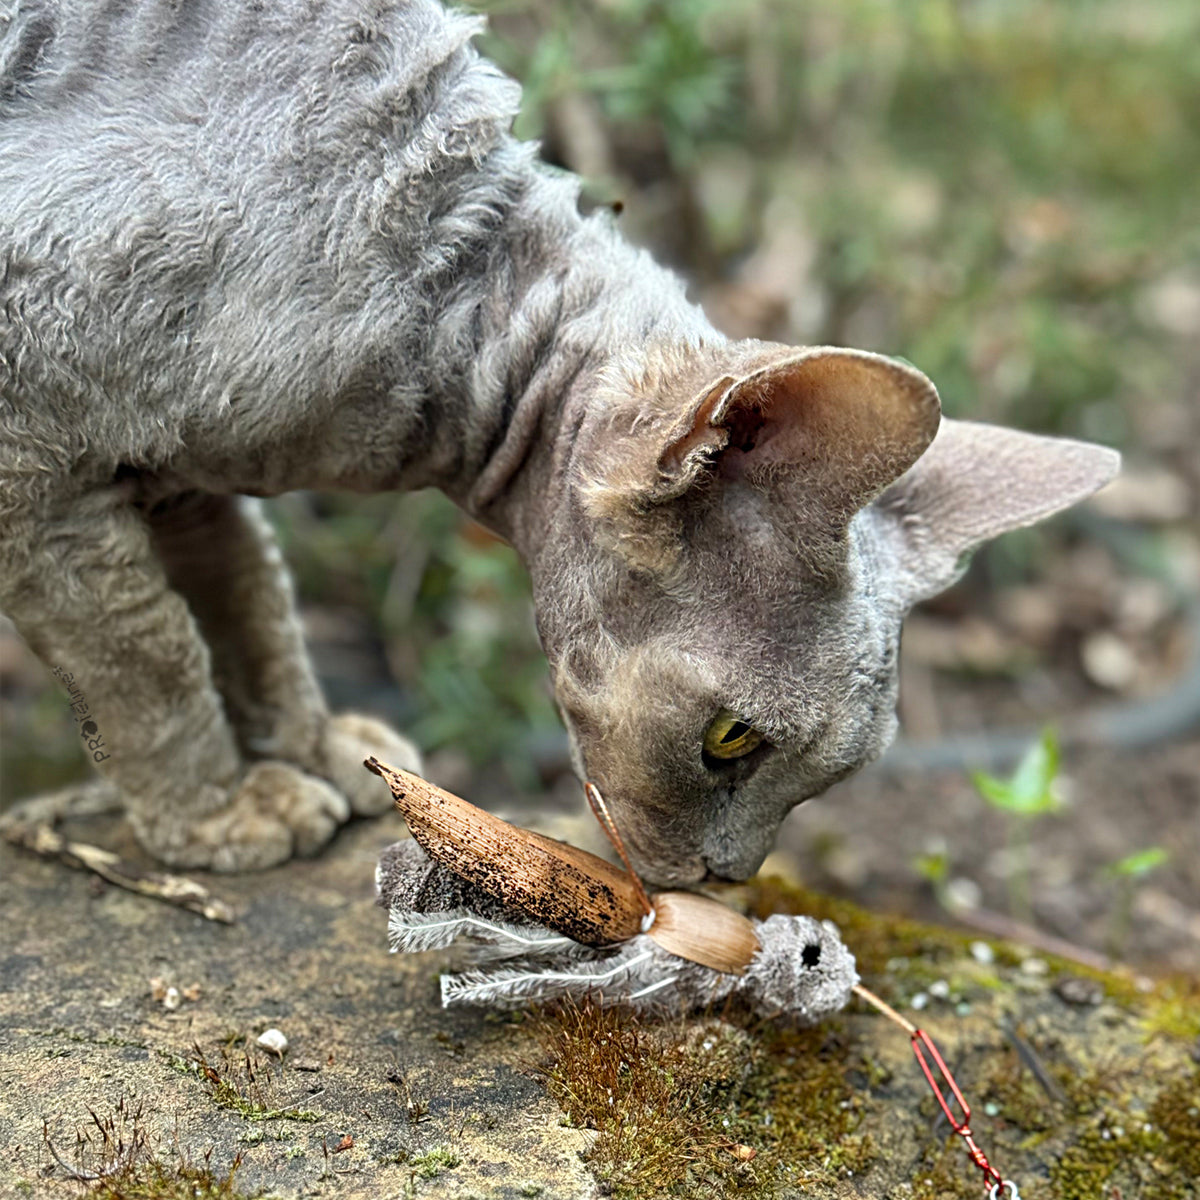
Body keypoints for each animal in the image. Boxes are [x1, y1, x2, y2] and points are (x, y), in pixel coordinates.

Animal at [2, 0, 1113, 883]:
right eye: (729, 740)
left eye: (829, 778)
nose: (729, 881)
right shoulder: (35, 464)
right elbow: (148, 656)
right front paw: (222, 816)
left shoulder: (185, 465)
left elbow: (249, 599)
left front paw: (309, 749)